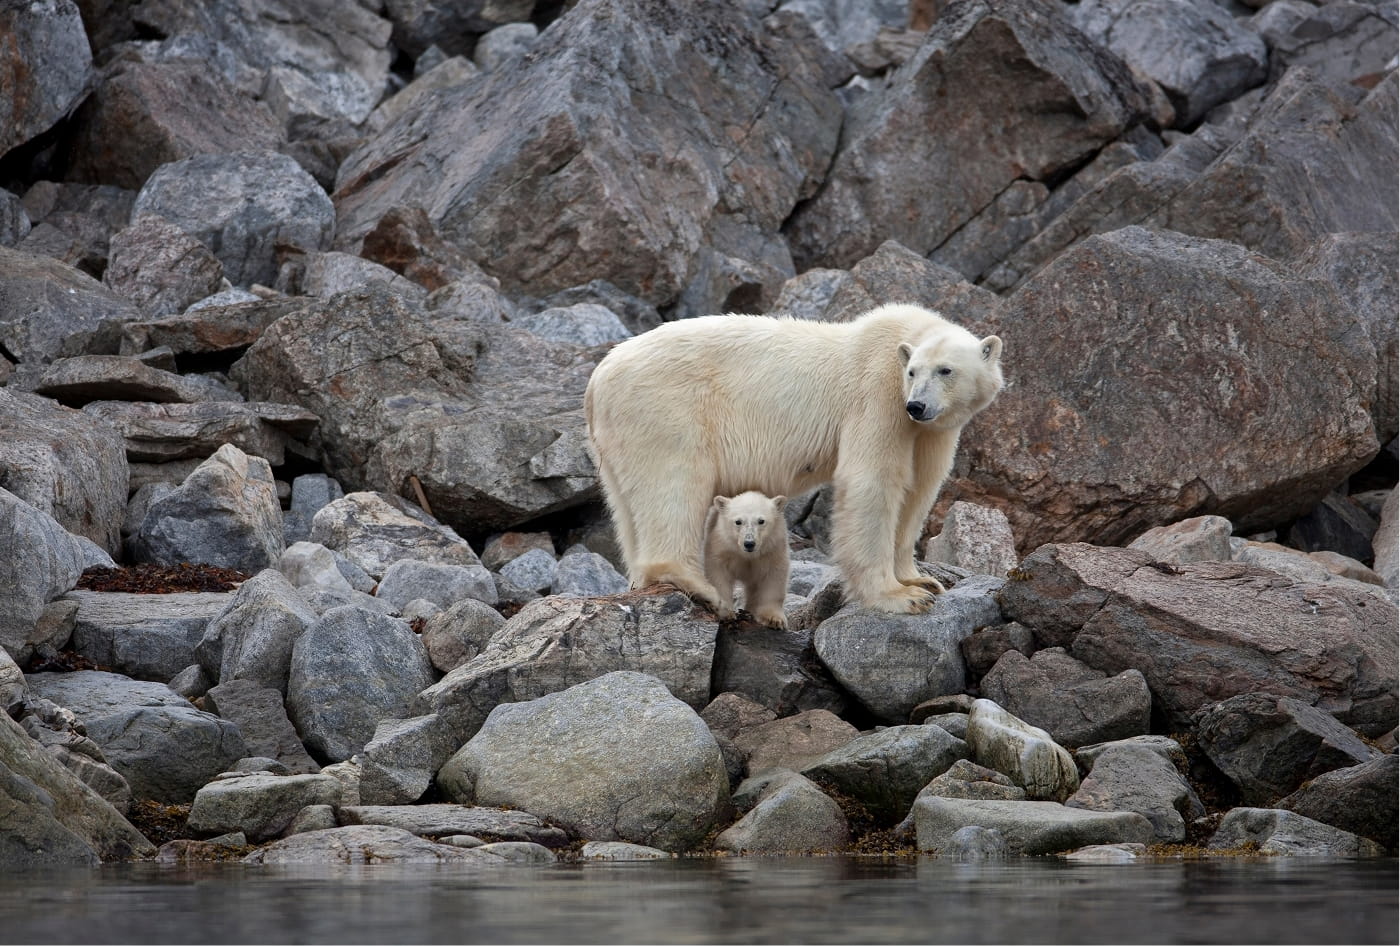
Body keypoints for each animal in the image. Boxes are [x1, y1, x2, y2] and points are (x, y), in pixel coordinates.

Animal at [583, 302, 1004, 614]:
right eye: (913, 371)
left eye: (946, 370)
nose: (917, 405)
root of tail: (598, 377)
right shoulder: (878, 396)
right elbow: (873, 482)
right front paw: (899, 597)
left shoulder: (931, 430)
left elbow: (919, 489)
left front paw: (920, 579)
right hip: (664, 407)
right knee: (675, 484)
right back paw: (696, 584)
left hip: (614, 440)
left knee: (627, 507)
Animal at [702, 490, 790, 629]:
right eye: (738, 521)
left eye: (761, 521)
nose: (749, 543)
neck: (747, 555)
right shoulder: (722, 546)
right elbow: (718, 574)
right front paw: (725, 611)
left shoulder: (772, 549)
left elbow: (774, 577)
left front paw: (774, 619)